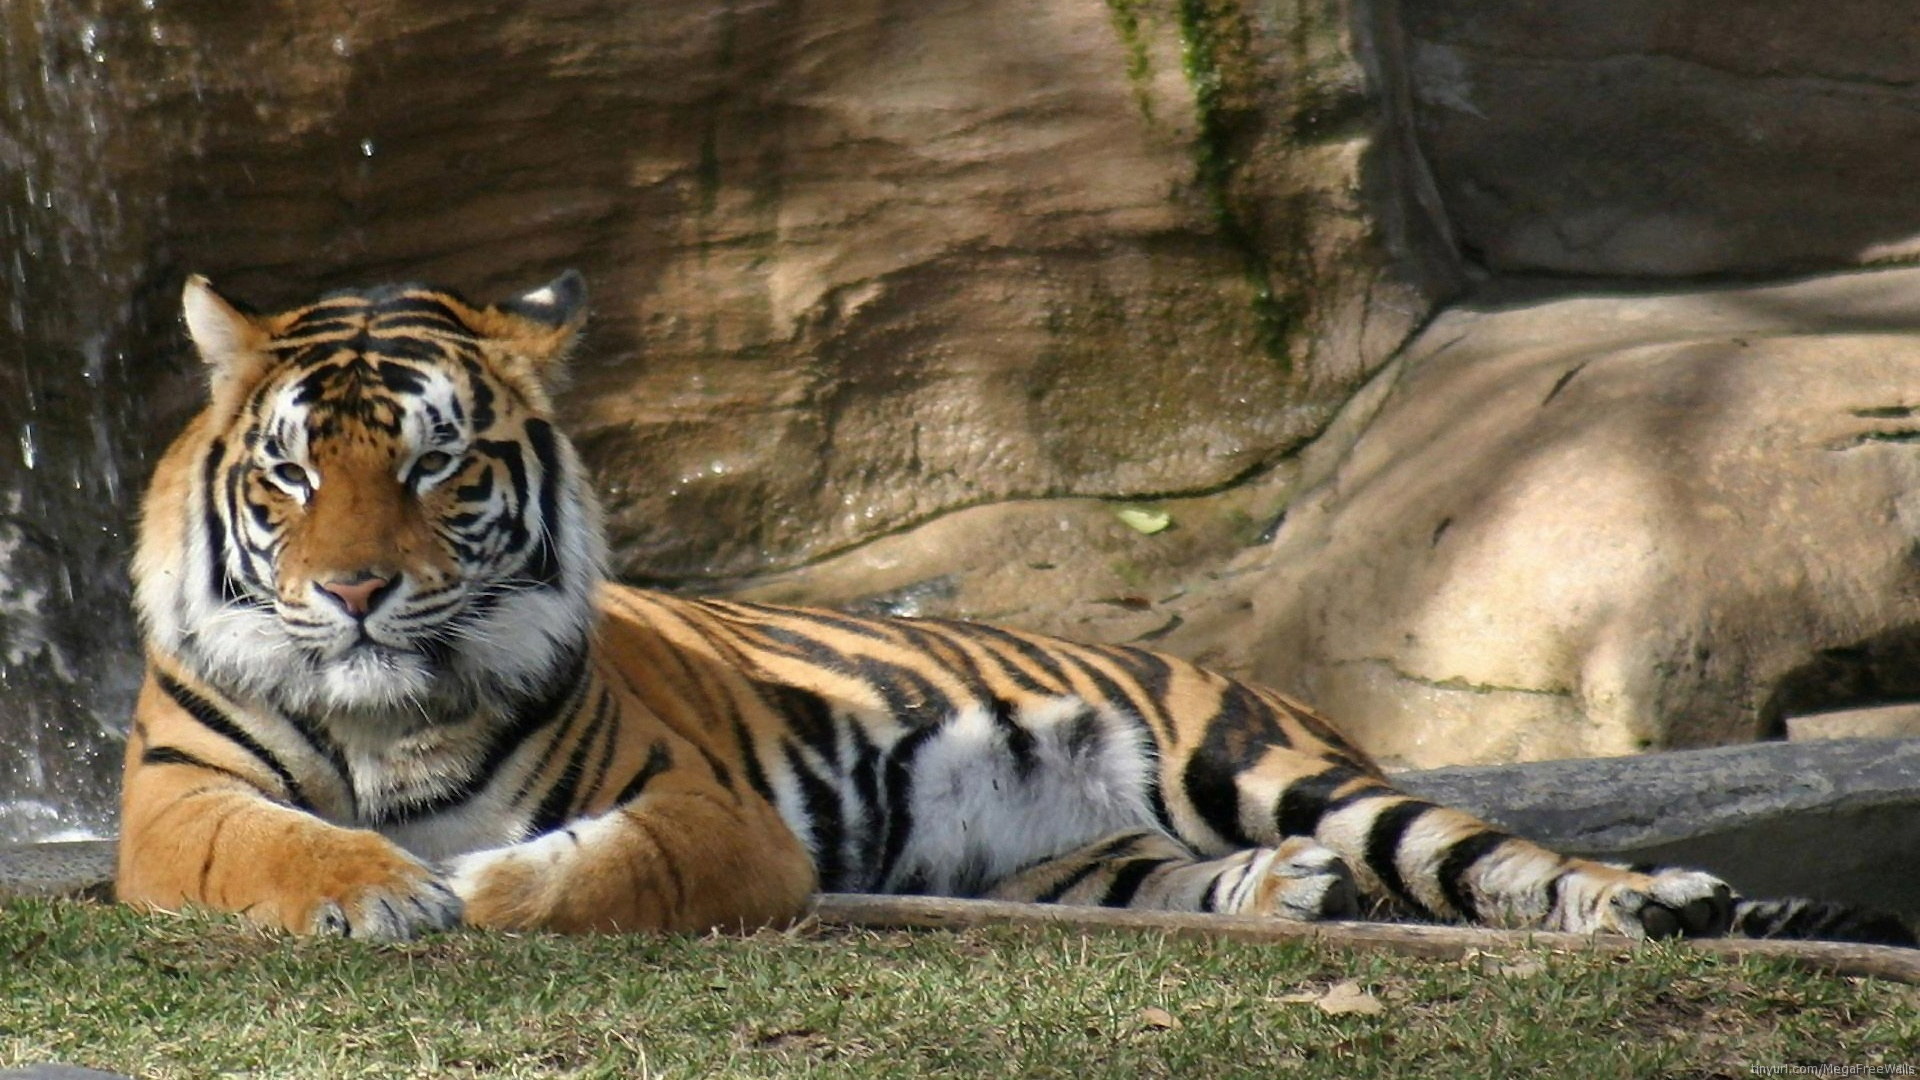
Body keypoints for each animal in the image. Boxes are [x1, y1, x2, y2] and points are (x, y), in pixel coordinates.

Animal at [112, 274, 1912, 941]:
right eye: (292, 476)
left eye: (434, 467)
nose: (353, 593)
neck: (390, 710)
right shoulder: (172, 805)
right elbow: (276, 848)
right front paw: (378, 892)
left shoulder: (695, 811)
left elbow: (583, 868)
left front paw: (473, 886)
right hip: (1082, 855)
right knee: (1200, 878)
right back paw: (1288, 896)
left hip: (1267, 760)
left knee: (1493, 854)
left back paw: (1656, 899)